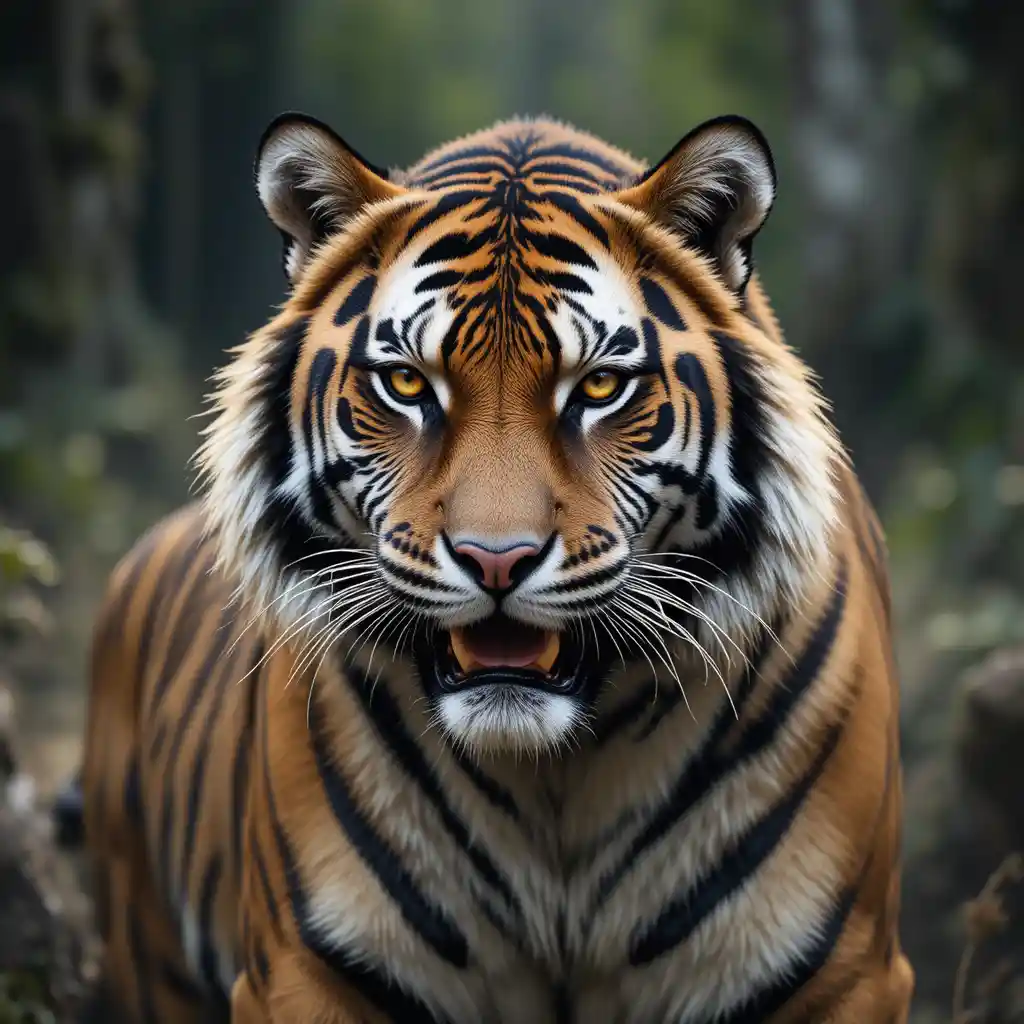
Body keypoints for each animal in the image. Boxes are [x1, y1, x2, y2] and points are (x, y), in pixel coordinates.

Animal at [78, 110, 913, 1023]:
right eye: (408, 384)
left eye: (599, 388)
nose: (497, 560)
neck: (554, 779)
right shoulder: (306, 970)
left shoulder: (843, 974)